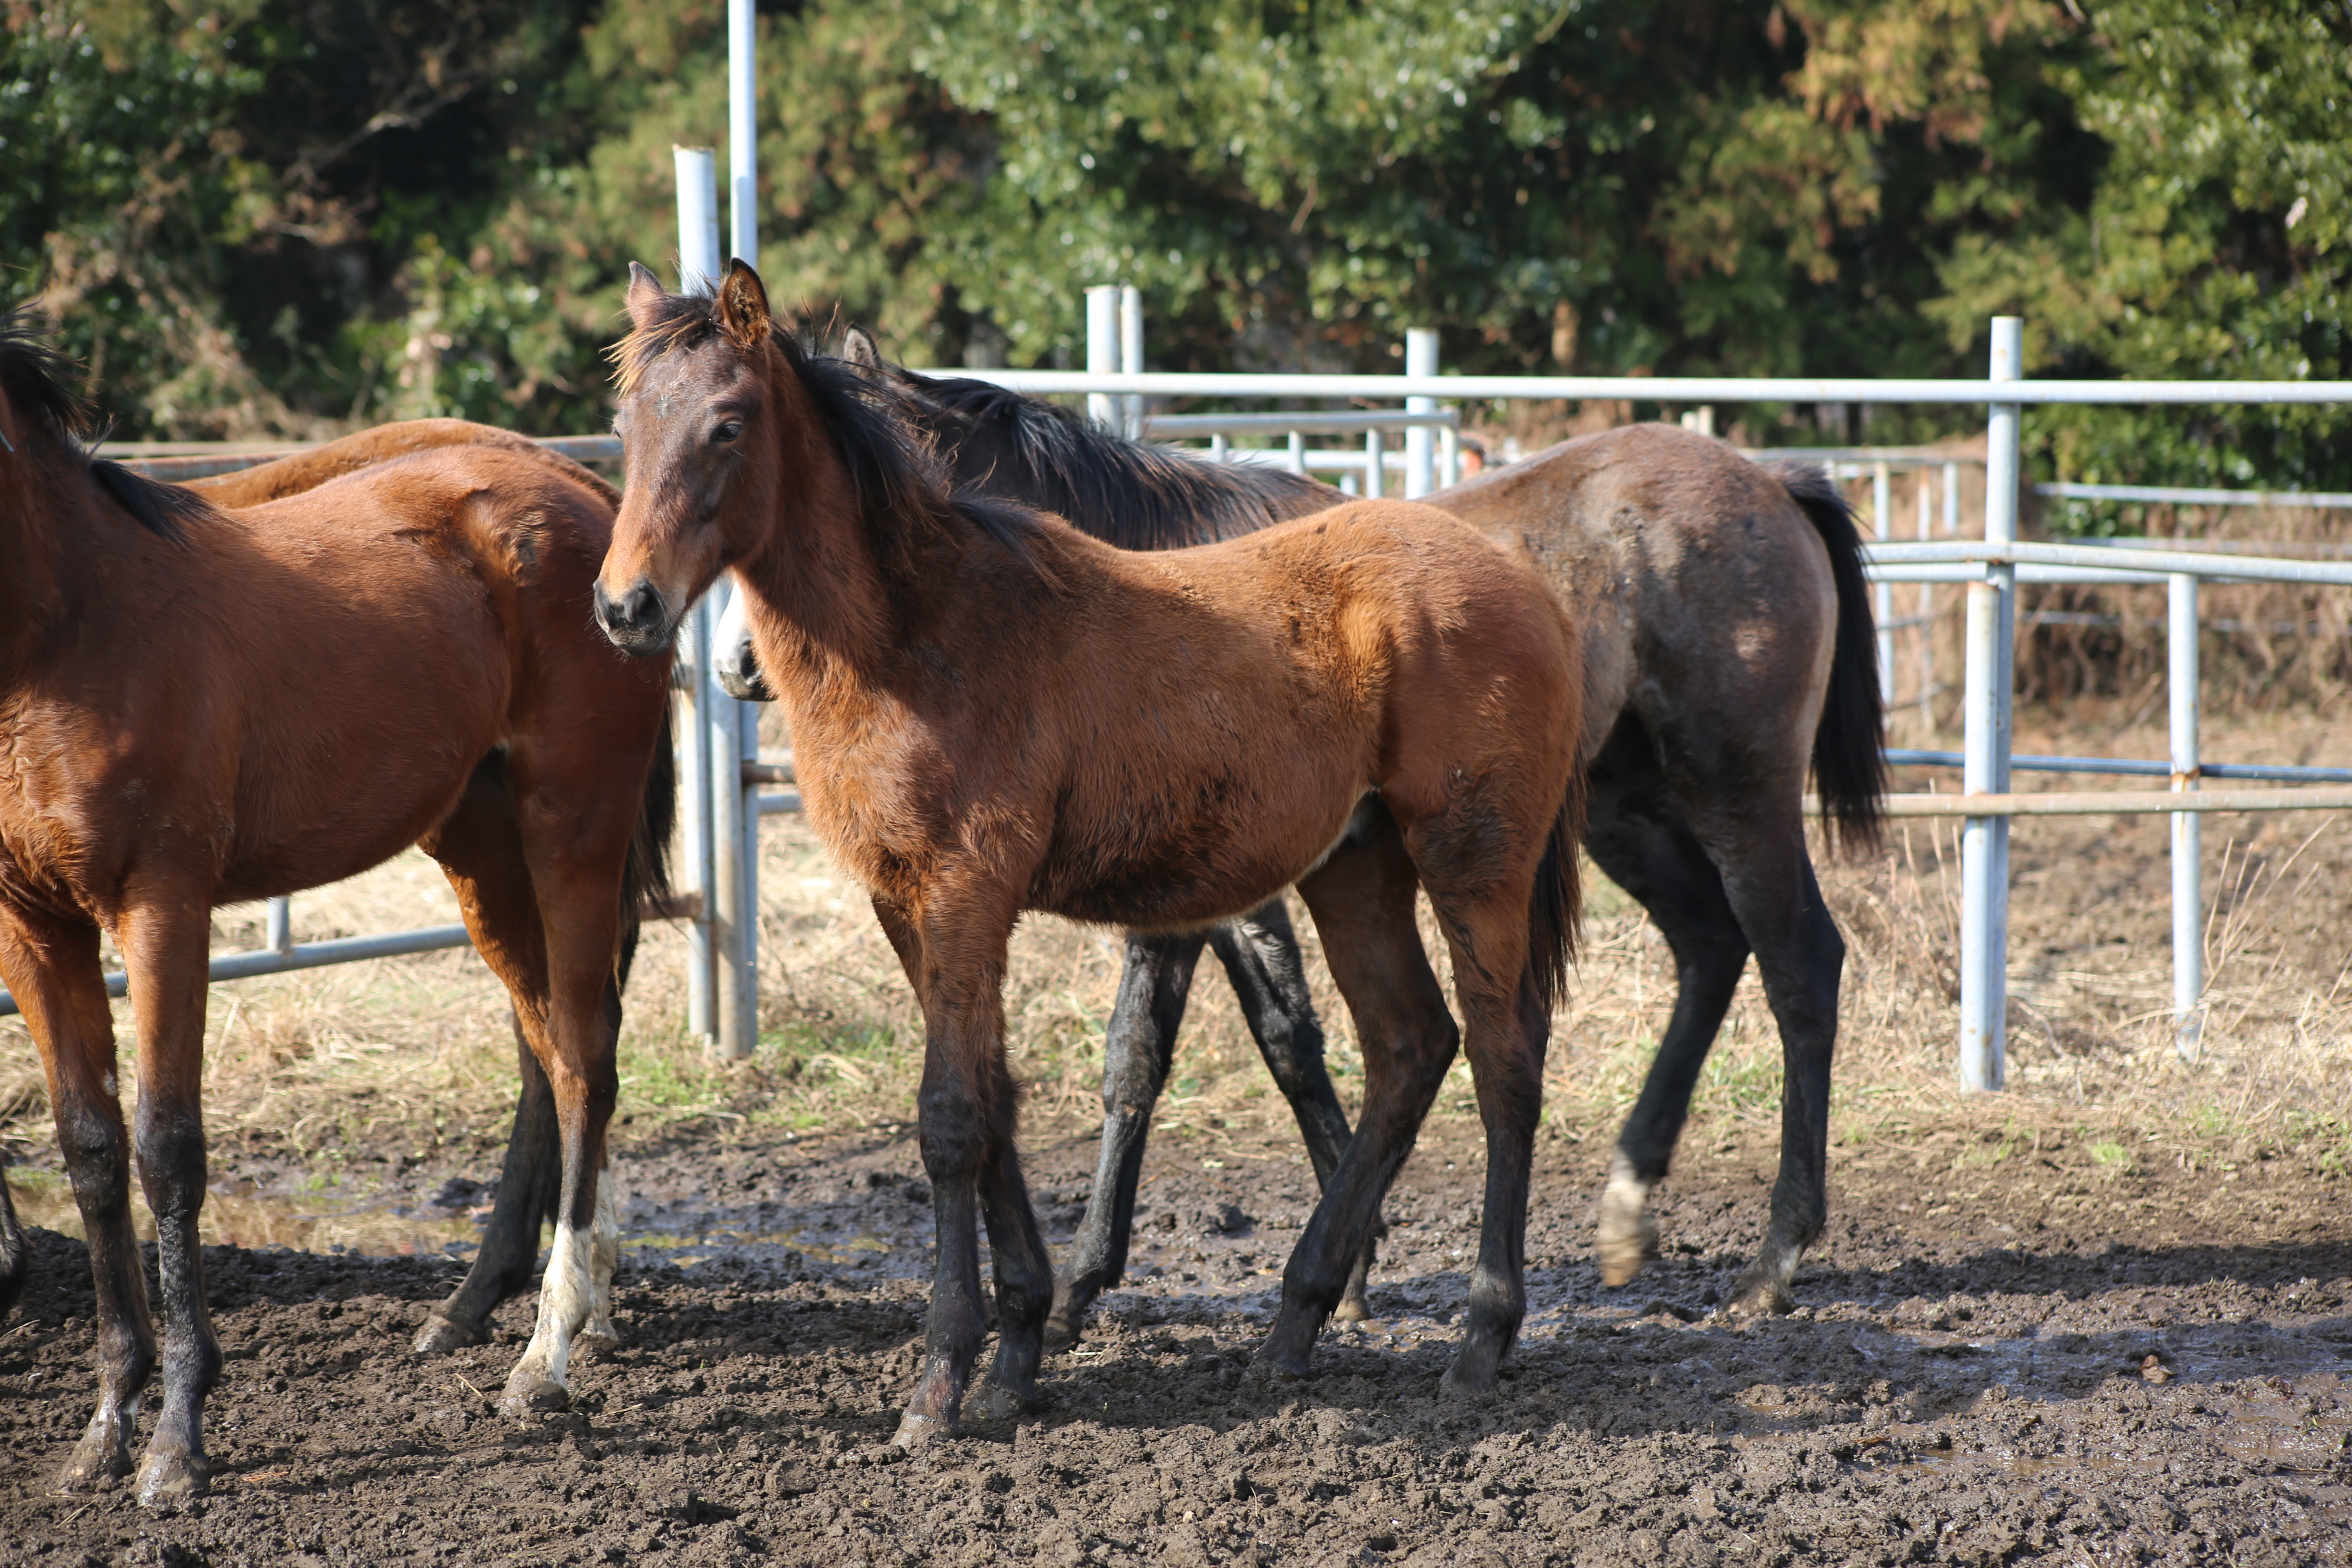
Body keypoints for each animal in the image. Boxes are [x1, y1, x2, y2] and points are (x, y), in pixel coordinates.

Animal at [2, 310, 682, 1504]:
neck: (67, 626)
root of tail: (585, 493)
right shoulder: (36, 925)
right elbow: (88, 1151)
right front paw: (105, 1426)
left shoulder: (163, 905)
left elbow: (168, 1149)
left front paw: (177, 1439)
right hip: (481, 851)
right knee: (552, 1047)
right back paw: (531, 1307)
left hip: (576, 831)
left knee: (584, 1061)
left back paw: (546, 1354)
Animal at [597, 261, 1590, 1448]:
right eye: (624, 426)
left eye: (727, 424)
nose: (627, 606)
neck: (920, 633)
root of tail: (1523, 581)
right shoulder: (906, 902)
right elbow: (995, 1099)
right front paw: (1023, 1344)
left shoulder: (970, 891)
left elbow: (954, 1119)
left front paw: (944, 1379)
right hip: (1355, 869)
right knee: (1407, 1047)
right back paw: (1295, 1323)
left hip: (1473, 863)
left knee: (1500, 1061)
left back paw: (1479, 1336)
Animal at [706, 324, 1882, 1345]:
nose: (738, 666)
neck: (1137, 588)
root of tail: (1774, 483)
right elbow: (1233, 1049)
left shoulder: (1217, 892)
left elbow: (1221, 1046)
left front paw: (1316, 1272)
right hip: (1623, 812)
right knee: (1708, 948)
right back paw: (1629, 1210)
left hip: (1735, 792)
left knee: (1798, 965)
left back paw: (1774, 1260)